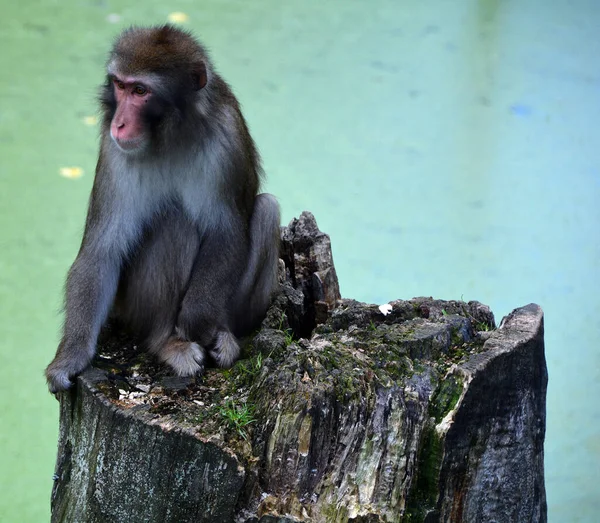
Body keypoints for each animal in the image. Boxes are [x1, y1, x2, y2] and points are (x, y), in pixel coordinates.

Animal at [44, 24, 282, 392]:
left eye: (140, 91)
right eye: (120, 85)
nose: (119, 123)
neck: (169, 135)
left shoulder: (226, 135)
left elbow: (226, 231)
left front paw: (197, 321)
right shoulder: (113, 151)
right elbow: (102, 250)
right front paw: (70, 357)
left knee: (267, 211)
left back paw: (220, 333)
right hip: (130, 306)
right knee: (174, 224)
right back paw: (166, 342)